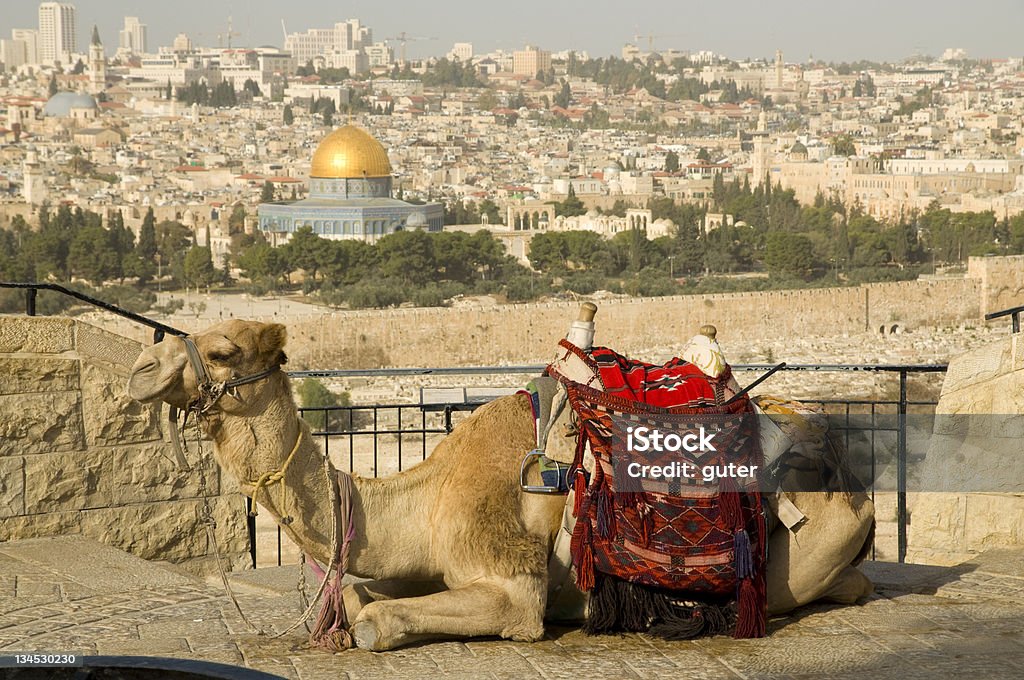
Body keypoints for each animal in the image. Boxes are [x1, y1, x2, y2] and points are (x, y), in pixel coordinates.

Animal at [128, 321, 876, 651]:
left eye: (222, 350)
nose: (140, 367)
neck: (425, 496)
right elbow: (363, 590)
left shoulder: (509, 582)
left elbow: (378, 618)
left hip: (802, 552)